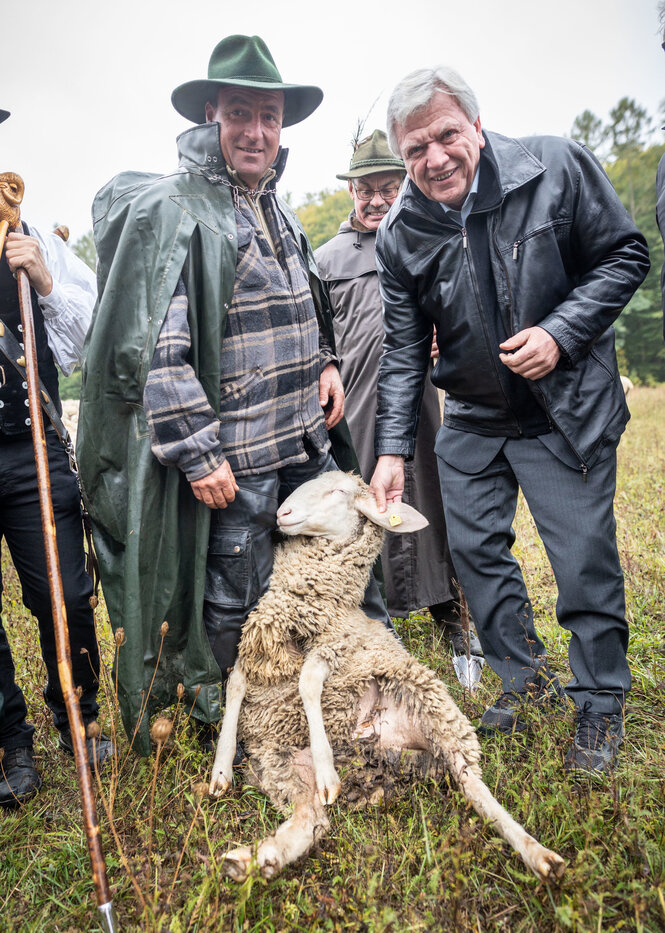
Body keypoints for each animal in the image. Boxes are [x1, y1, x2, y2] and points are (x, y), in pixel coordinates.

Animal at [209, 470, 564, 884]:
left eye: (339, 490)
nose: (283, 513)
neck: (322, 599)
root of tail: (380, 747)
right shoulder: (257, 646)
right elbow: (234, 685)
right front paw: (221, 768)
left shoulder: (338, 645)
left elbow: (308, 681)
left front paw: (327, 769)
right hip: (279, 762)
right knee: (311, 819)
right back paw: (251, 860)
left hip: (436, 709)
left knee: (475, 788)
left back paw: (539, 855)